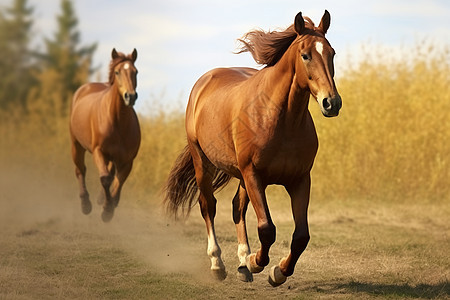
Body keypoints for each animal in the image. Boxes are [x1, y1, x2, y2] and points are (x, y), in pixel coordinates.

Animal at [70, 48, 140, 223]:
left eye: (136, 72)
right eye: (117, 72)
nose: (130, 96)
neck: (117, 121)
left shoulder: (127, 159)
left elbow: (119, 179)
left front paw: (109, 206)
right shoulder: (98, 151)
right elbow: (105, 178)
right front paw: (107, 210)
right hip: (76, 145)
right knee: (80, 170)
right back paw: (86, 204)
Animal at [163, 11, 342, 286]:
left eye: (332, 53)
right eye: (305, 55)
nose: (331, 103)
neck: (280, 118)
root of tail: (204, 81)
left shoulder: (300, 179)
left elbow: (301, 236)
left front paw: (277, 271)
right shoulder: (254, 175)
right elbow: (267, 228)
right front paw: (257, 262)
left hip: (240, 175)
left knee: (237, 208)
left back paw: (241, 265)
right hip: (203, 161)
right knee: (208, 205)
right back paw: (218, 264)